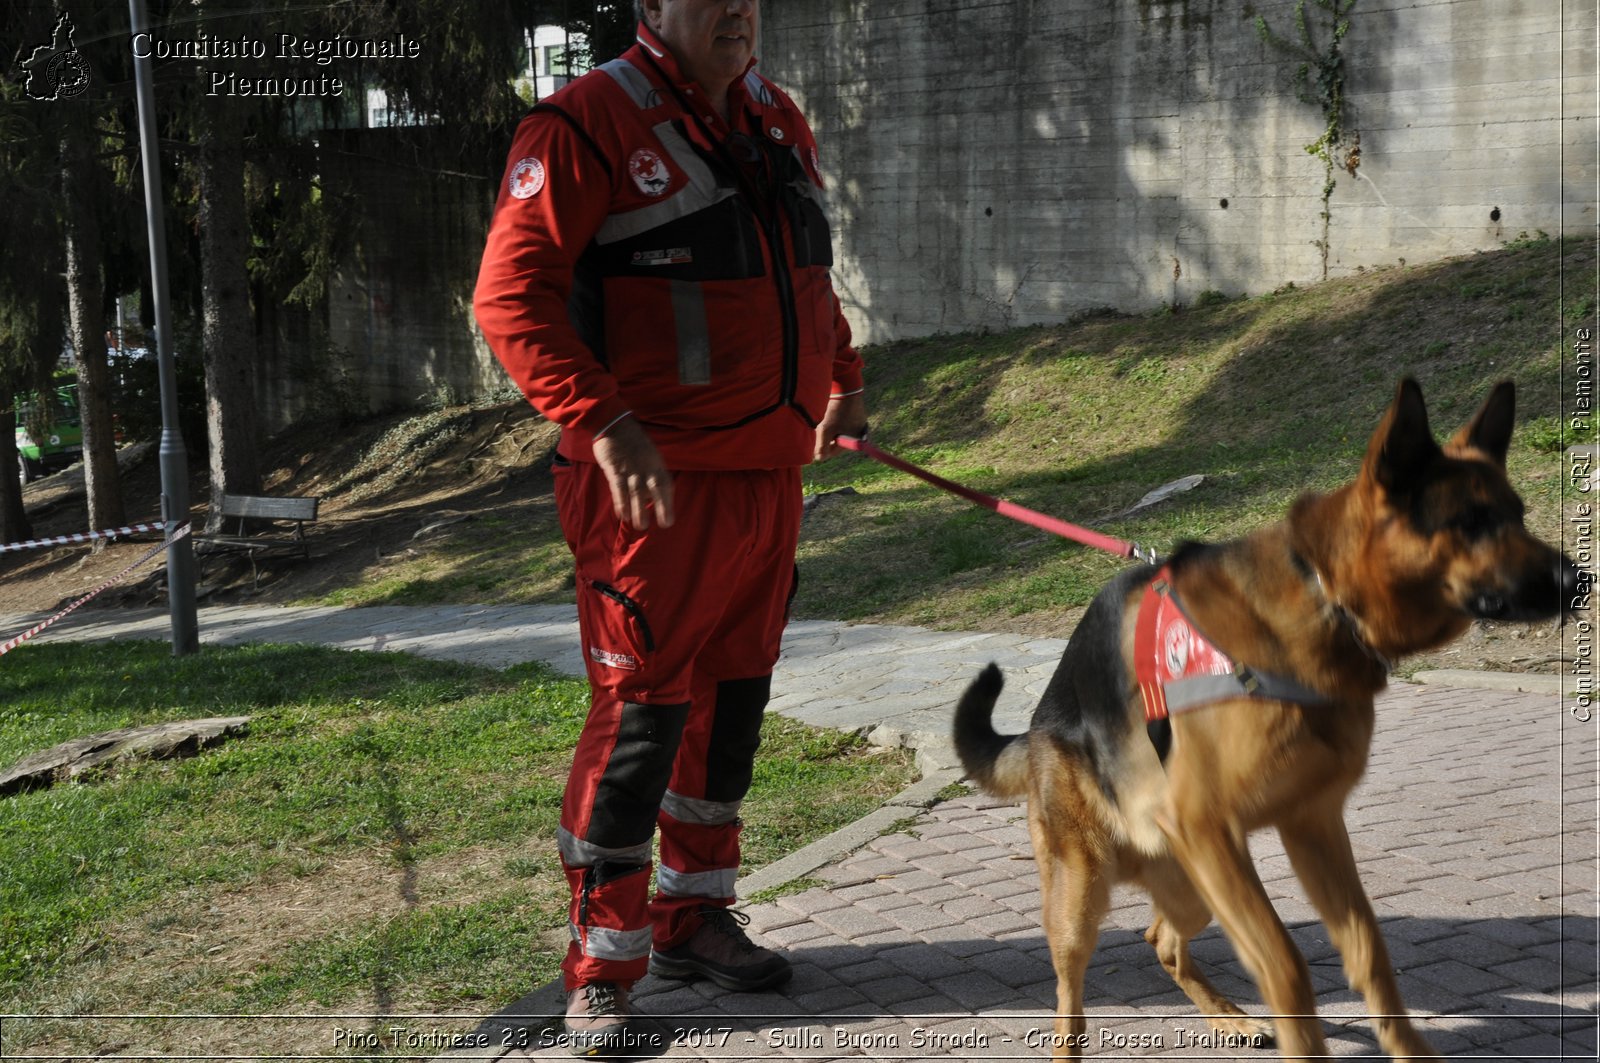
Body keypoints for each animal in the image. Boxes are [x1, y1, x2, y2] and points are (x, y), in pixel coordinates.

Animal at [953, 379, 1580, 1056]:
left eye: (1518, 515)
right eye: (1471, 523)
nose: (1578, 579)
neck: (1324, 595)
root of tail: (1039, 725)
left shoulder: (1310, 825)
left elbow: (1371, 957)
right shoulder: (1212, 830)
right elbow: (1285, 965)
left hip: (1191, 890)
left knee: (1161, 939)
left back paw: (1229, 1017)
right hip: (1082, 904)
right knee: (1070, 1004)